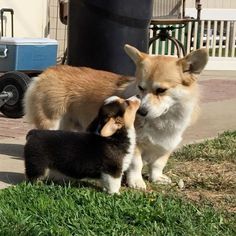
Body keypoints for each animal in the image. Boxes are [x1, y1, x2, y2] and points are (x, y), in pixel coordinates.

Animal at [23, 45, 208, 190]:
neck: (164, 119)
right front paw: (137, 182)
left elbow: (158, 164)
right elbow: (137, 164)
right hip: (51, 120)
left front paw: (157, 178)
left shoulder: (168, 143)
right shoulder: (134, 144)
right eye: (141, 88)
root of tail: (46, 72)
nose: (142, 112)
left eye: (161, 90)